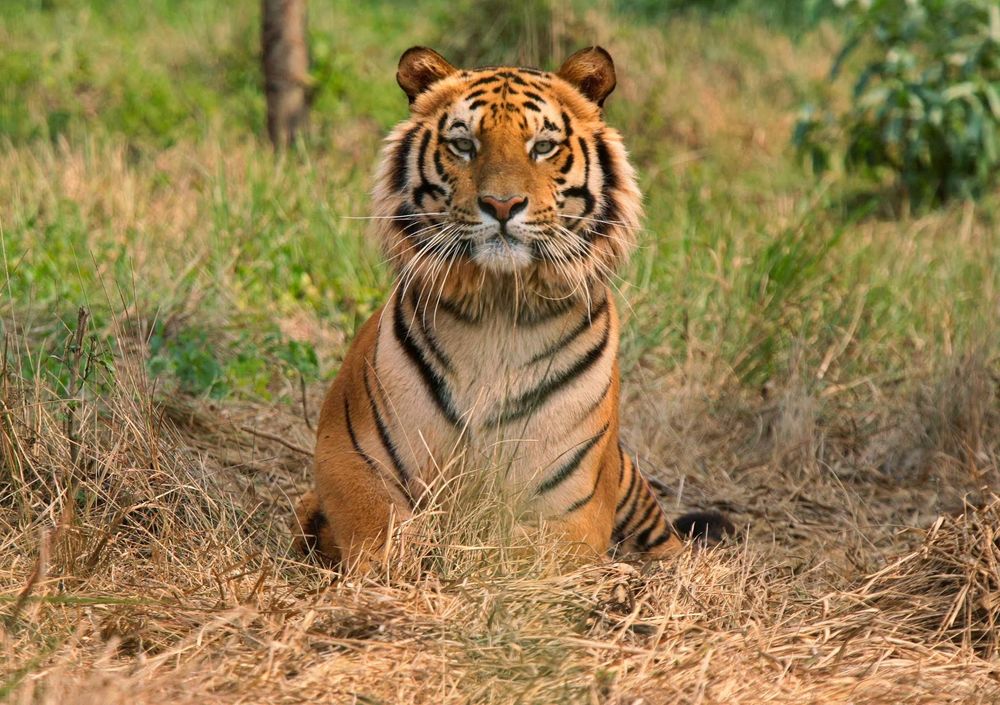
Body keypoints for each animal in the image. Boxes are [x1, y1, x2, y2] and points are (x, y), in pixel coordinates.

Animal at [294, 46, 729, 572]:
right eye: (464, 144)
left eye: (542, 146)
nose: (502, 205)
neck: (498, 311)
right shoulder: (346, 456)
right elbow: (378, 528)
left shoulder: (573, 505)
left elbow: (516, 554)